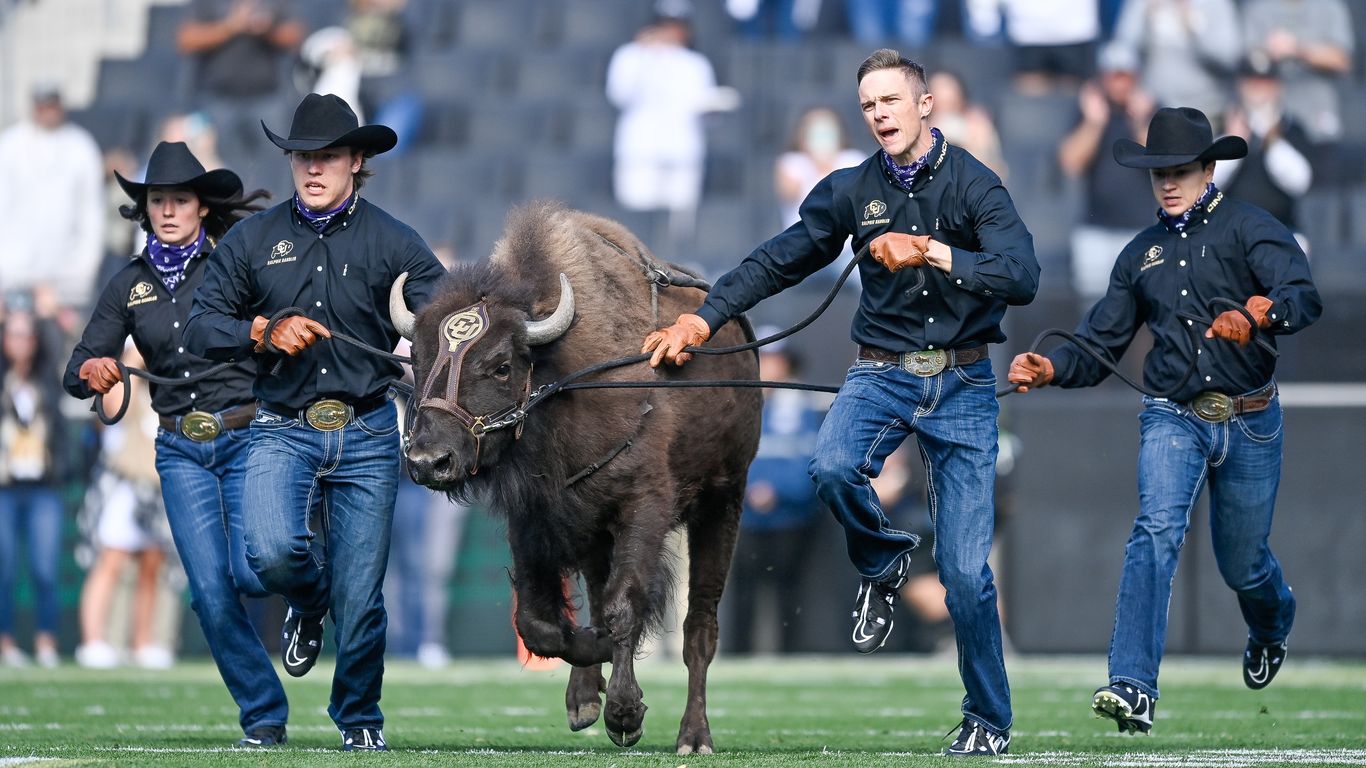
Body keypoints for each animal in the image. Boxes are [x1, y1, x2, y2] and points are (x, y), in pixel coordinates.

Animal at [390, 200, 764, 748]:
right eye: (416, 358)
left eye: (501, 365)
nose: (427, 461)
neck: (560, 379)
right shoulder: (537, 518)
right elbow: (540, 621)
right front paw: (592, 684)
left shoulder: (642, 507)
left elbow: (624, 605)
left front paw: (626, 714)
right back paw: (585, 697)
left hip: (723, 502)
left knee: (700, 626)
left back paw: (694, 736)